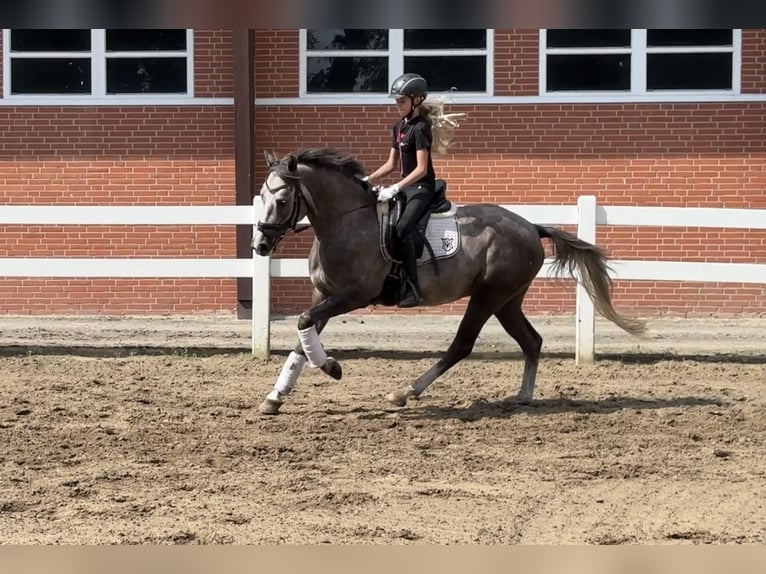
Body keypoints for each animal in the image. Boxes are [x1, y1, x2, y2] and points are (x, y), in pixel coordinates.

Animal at [252, 147, 648, 418]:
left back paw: (406, 392)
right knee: (531, 341)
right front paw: (275, 396)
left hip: (488, 297)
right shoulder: (324, 293)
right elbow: (303, 336)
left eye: (282, 200)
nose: (260, 246)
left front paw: (332, 368)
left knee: (462, 345)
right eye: (262, 197)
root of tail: (530, 227)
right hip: (507, 301)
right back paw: (523, 396)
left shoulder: (353, 296)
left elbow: (304, 325)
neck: (345, 222)